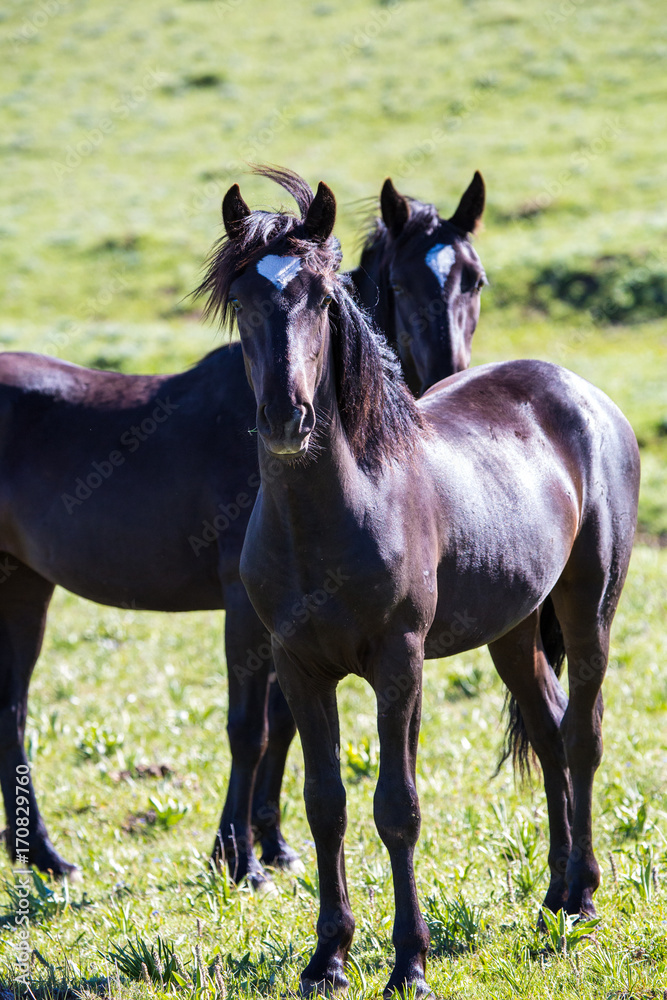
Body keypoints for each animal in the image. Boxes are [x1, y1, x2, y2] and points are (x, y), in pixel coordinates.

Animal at [0, 168, 486, 888]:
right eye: (398, 283)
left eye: (472, 280)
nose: (452, 375)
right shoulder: (244, 605)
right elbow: (247, 727)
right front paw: (238, 855)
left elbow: (282, 723)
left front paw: (273, 843)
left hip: (25, 583)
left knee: (11, 704)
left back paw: (39, 854)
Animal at [206, 170, 640, 992]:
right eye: (242, 300)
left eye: (320, 296)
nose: (286, 417)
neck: (333, 514)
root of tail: (581, 394)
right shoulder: (298, 666)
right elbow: (326, 804)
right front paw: (328, 958)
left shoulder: (397, 663)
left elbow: (397, 807)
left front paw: (408, 961)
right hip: (512, 629)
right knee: (547, 727)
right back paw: (557, 891)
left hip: (586, 609)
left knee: (582, 735)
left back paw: (585, 895)